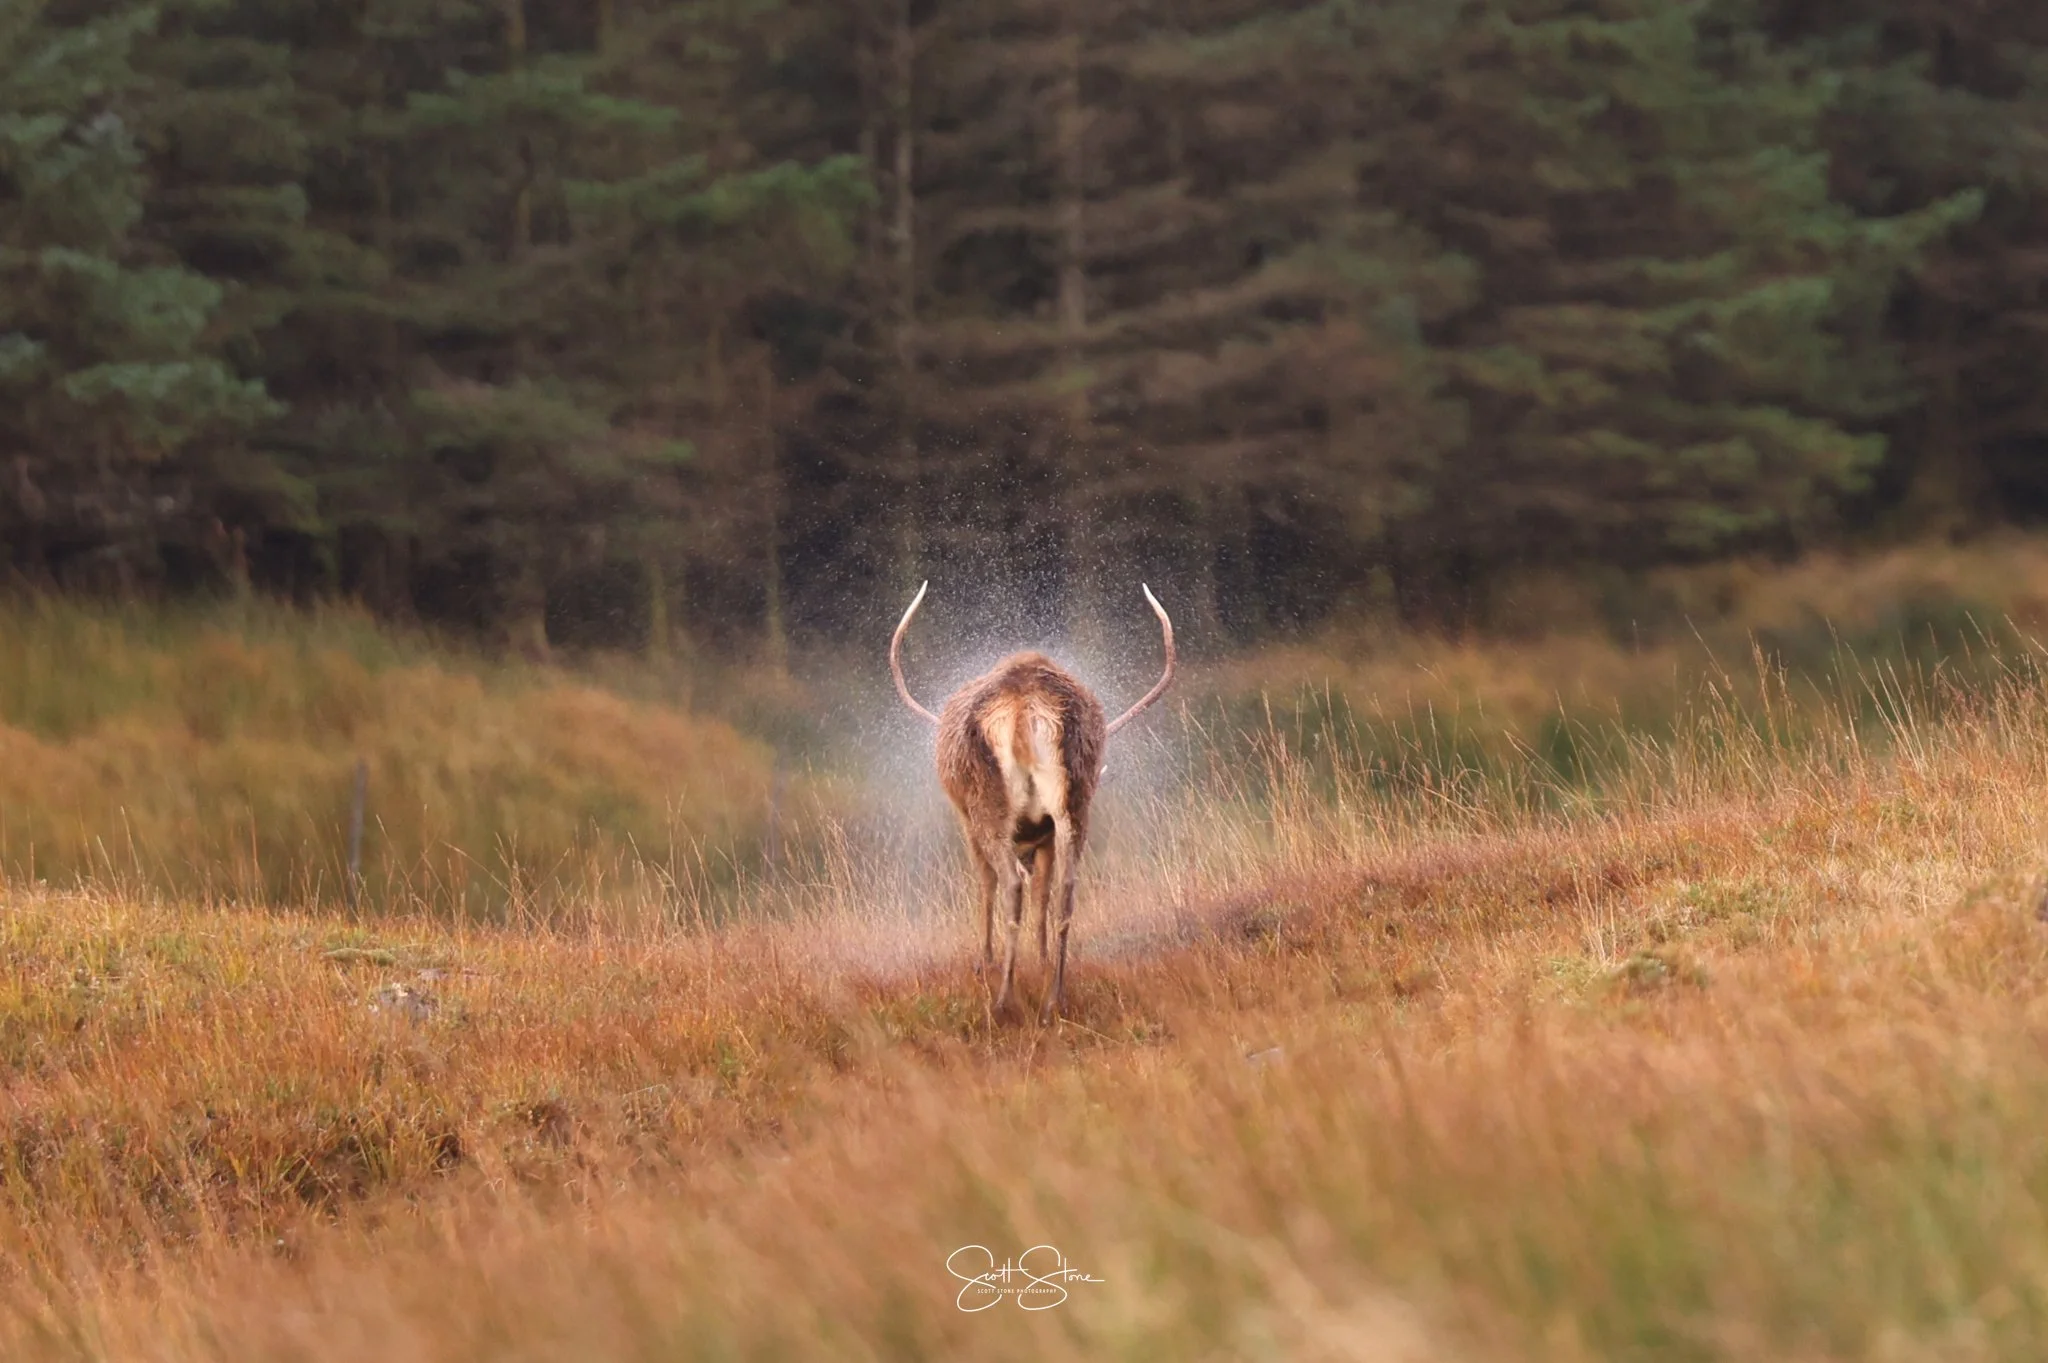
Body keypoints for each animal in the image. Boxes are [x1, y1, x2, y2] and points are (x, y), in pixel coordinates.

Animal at [890, 583, 1176, 1023]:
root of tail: (1025, 707)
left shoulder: (967, 822)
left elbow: (986, 883)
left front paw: (985, 962)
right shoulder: (1044, 833)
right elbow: (1043, 889)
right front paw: (1040, 960)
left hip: (989, 806)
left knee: (1009, 883)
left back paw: (1003, 999)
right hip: (1073, 802)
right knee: (1066, 887)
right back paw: (1054, 997)